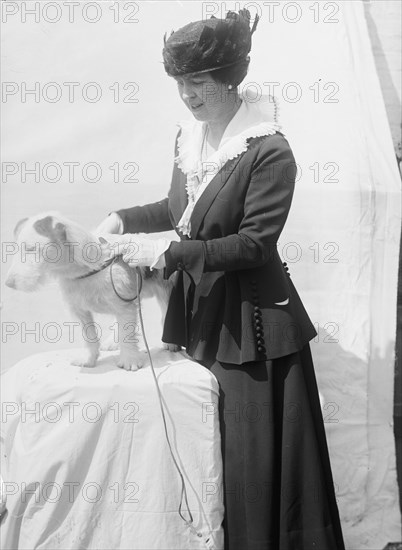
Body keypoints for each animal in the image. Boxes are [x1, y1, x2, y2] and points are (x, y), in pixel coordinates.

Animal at [3, 213, 176, 374]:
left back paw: (170, 343)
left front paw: (130, 360)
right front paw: (88, 359)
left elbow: (126, 333)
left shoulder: (124, 306)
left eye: (31, 249)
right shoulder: (80, 311)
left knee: (165, 314)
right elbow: (89, 336)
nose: (8, 283)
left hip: (166, 292)